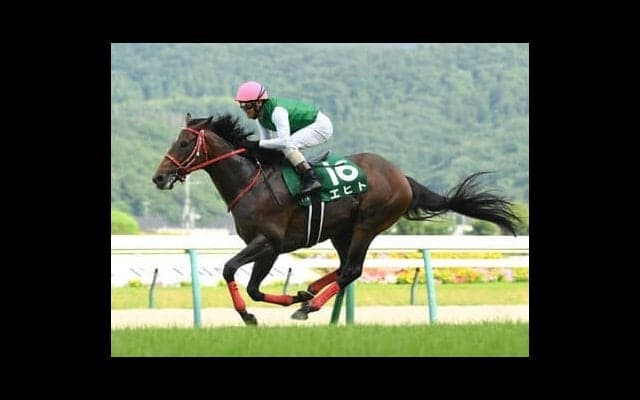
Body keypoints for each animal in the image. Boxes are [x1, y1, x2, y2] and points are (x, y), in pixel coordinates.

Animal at [152, 113, 521, 325]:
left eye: (184, 142)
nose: (159, 177)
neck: (251, 183)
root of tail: (401, 177)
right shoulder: (265, 246)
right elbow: (253, 286)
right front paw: (290, 297)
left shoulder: (269, 242)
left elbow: (234, 273)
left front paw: (250, 314)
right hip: (341, 231)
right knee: (344, 269)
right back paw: (310, 292)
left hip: (368, 225)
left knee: (352, 270)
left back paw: (309, 306)